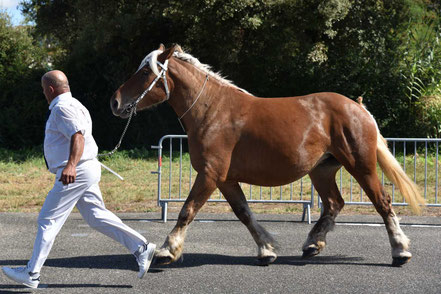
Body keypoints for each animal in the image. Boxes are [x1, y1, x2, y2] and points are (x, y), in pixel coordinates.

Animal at [109, 43, 422, 266]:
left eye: (145, 72)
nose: (115, 102)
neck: (211, 110)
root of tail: (357, 106)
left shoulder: (209, 174)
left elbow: (187, 210)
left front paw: (166, 250)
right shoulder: (225, 179)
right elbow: (244, 213)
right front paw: (267, 249)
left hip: (361, 165)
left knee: (382, 202)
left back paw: (400, 251)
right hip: (321, 170)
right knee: (334, 203)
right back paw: (312, 244)